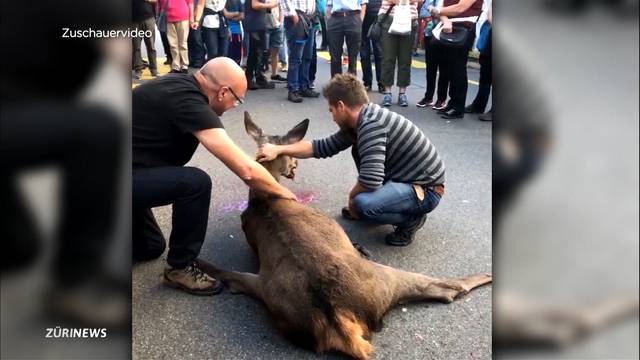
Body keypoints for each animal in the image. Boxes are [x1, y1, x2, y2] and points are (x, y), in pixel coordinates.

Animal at [198, 111, 492, 358]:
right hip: (385, 277)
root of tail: (339, 320)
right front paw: (359, 245)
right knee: (447, 287)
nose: (293, 168)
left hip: (270, 293)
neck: (263, 199)